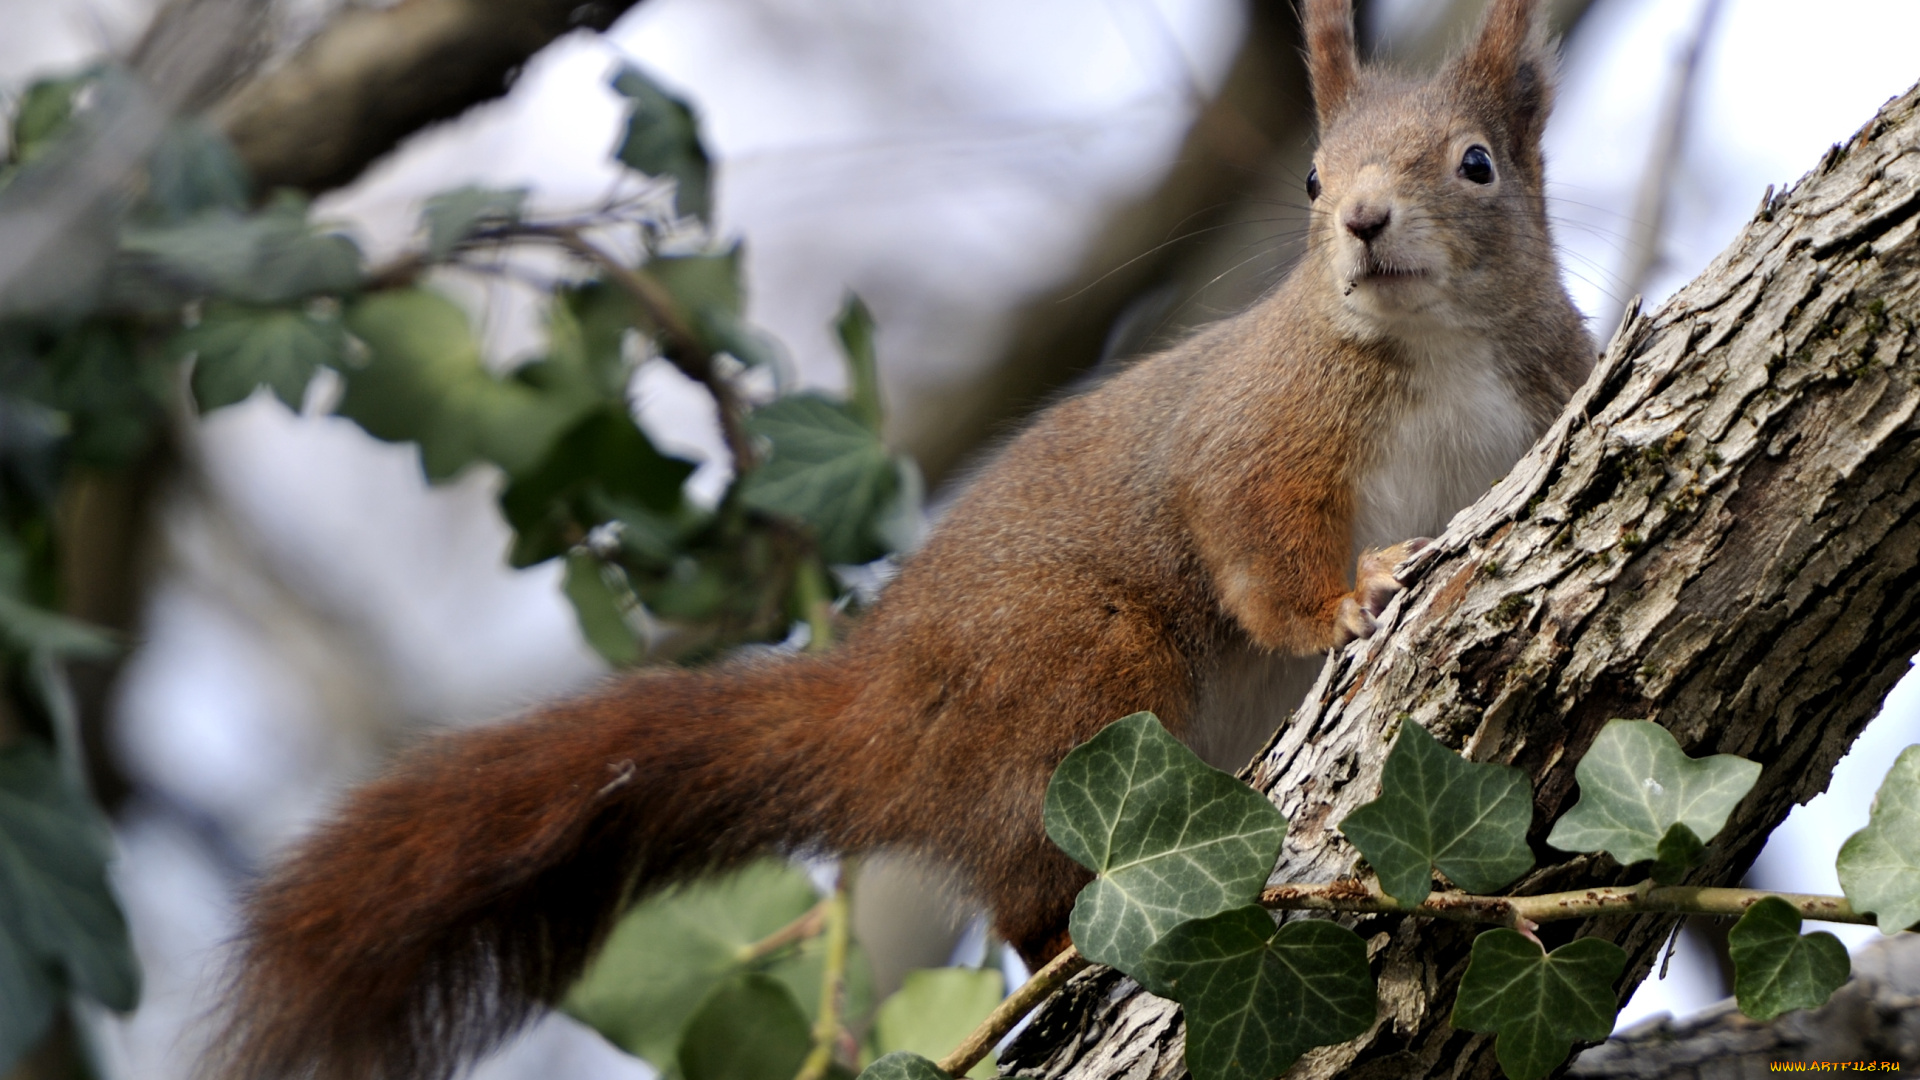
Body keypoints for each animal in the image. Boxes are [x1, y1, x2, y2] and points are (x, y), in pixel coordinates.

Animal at [210, 2, 1589, 1076]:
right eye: (1310, 176)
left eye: (1474, 165)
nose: (1362, 221)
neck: (1434, 350)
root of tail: (884, 702)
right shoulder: (1257, 434)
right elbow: (1252, 545)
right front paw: (1349, 596)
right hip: (1071, 676)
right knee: (1035, 890)